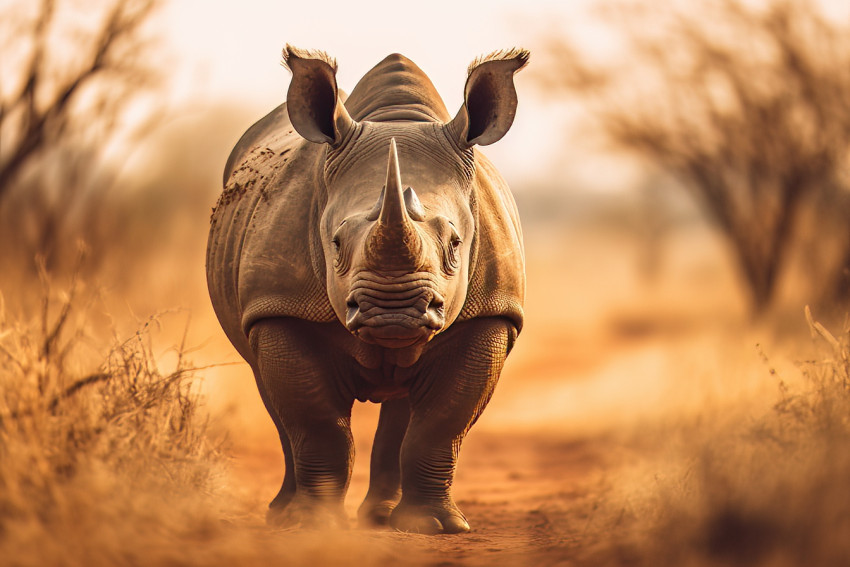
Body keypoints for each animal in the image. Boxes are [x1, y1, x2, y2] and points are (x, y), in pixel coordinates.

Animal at [206, 45, 528, 534]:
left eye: (456, 244)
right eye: (336, 243)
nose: (393, 312)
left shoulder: (491, 312)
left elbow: (442, 423)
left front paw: (435, 527)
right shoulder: (280, 307)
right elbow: (317, 424)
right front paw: (314, 523)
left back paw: (382, 518)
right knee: (271, 395)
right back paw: (283, 513)